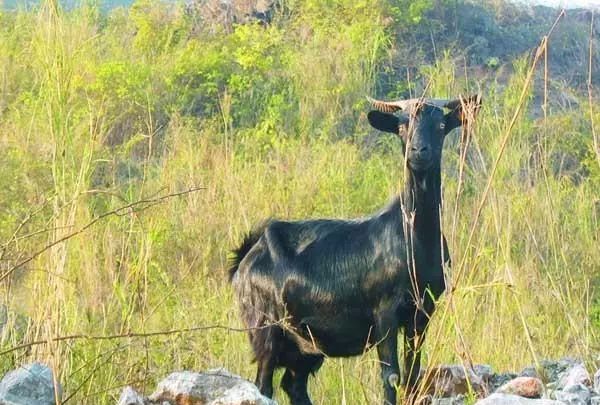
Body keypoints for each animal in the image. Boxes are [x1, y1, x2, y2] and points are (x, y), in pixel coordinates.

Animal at [227, 95, 480, 404]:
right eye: (401, 127)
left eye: (441, 125)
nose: (419, 152)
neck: (412, 237)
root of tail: (246, 258)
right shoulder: (384, 311)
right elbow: (391, 376)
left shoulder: (423, 312)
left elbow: (413, 374)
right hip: (265, 327)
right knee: (263, 383)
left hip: (305, 344)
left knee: (294, 383)